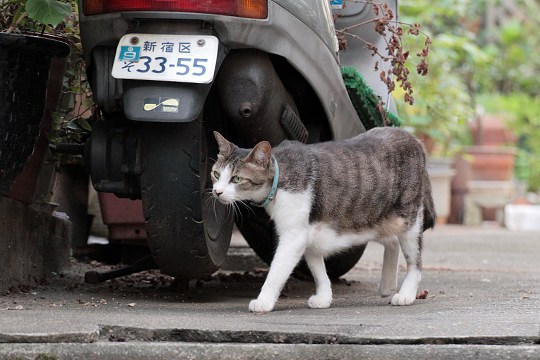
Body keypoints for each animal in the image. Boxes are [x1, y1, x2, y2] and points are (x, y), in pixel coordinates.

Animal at [211, 128, 434, 314]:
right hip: (373, 218)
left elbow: (276, 272)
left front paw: (263, 301)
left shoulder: (294, 236)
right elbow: (318, 270)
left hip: (407, 219)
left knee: (415, 261)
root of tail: (415, 140)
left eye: (237, 179)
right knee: (392, 241)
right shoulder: (309, 233)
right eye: (216, 174)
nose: (217, 191)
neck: (279, 176)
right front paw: (324, 297)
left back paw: (406, 293)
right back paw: (387, 285)